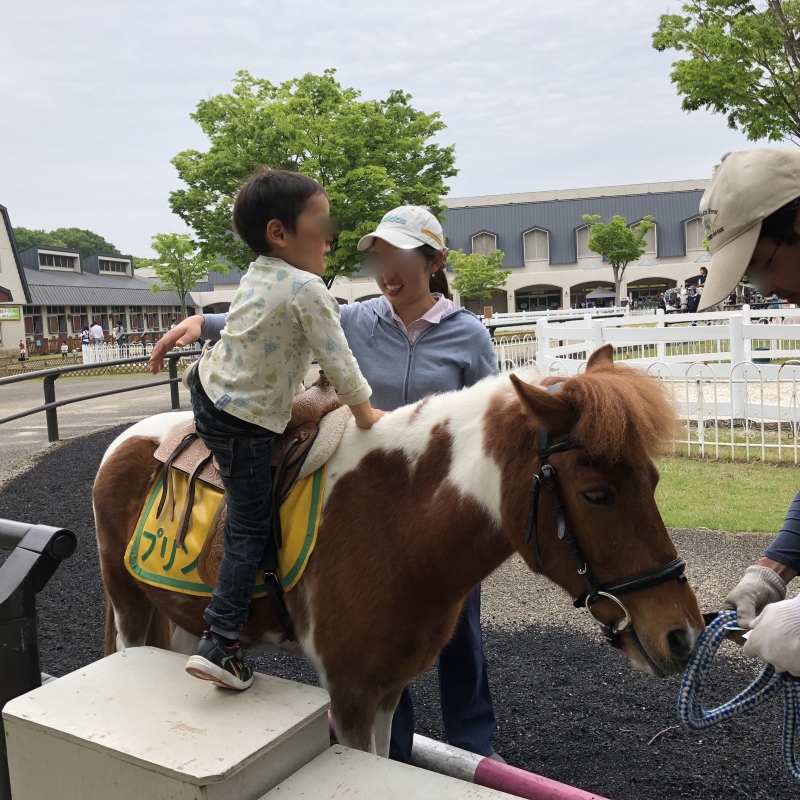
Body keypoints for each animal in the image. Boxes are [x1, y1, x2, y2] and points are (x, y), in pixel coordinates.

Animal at [93, 345, 703, 757]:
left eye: (653, 481)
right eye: (596, 494)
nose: (684, 636)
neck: (397, 522)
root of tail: (128, 437)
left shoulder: (385, 689)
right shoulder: (350, 693)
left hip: (179, 614)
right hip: (129, 607)